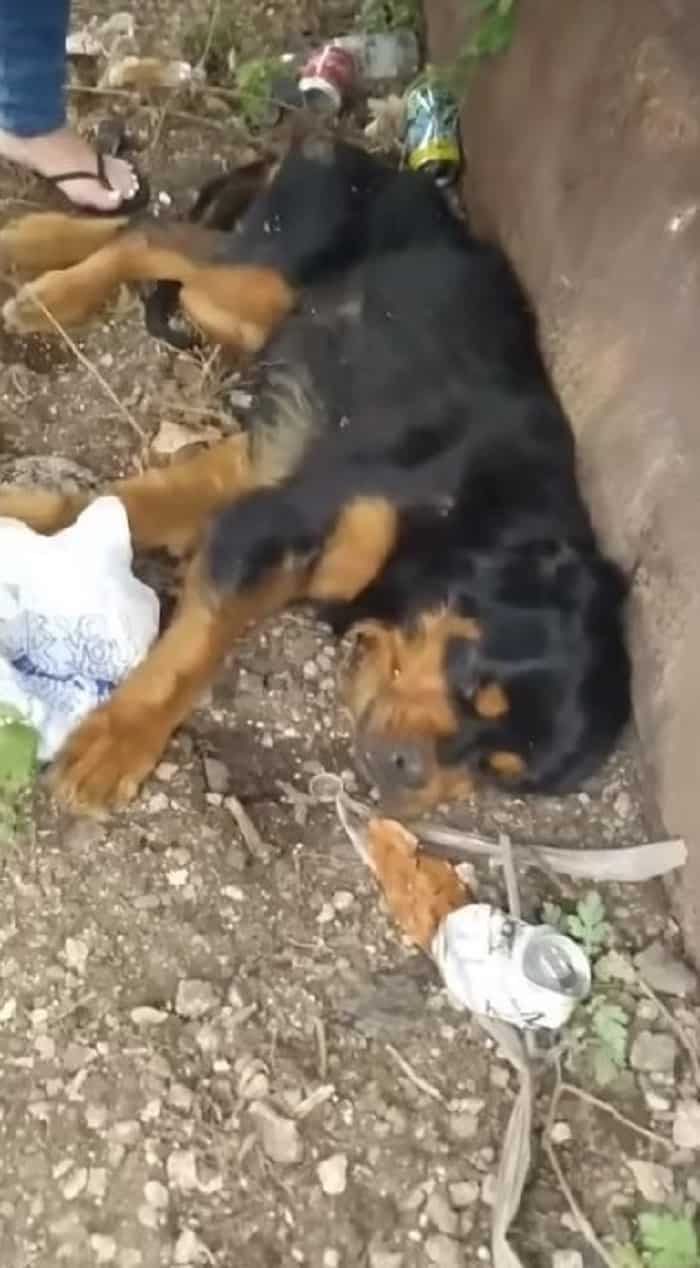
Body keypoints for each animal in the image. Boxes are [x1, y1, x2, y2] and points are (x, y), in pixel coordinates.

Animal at [0, 136, 631, 811]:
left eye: (498, 772)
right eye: (470, 679)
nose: (405, 774)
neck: (475, 525)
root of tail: (342, 149)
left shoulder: (258, 477)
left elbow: (119, 505)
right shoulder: (269, 525)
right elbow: (193, 654)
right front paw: (118, 743)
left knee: (160, 230)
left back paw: (33, 239)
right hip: (258, 280)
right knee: (151, 234)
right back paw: (54, 290)